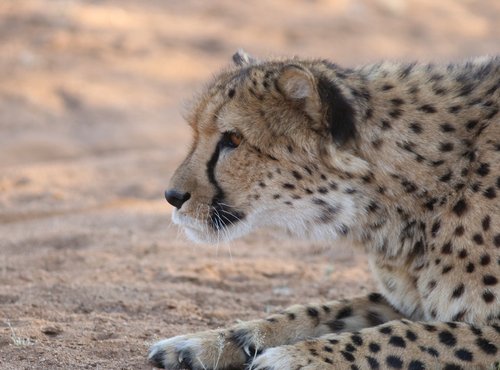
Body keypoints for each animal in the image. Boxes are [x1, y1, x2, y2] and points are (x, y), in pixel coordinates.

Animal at [149, 52, 500, 370]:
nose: (172, 196)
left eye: (233, 139)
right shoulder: (403, 302)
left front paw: (294, 357)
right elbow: (319, 310)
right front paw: (208, 341)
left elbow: (408, 335)